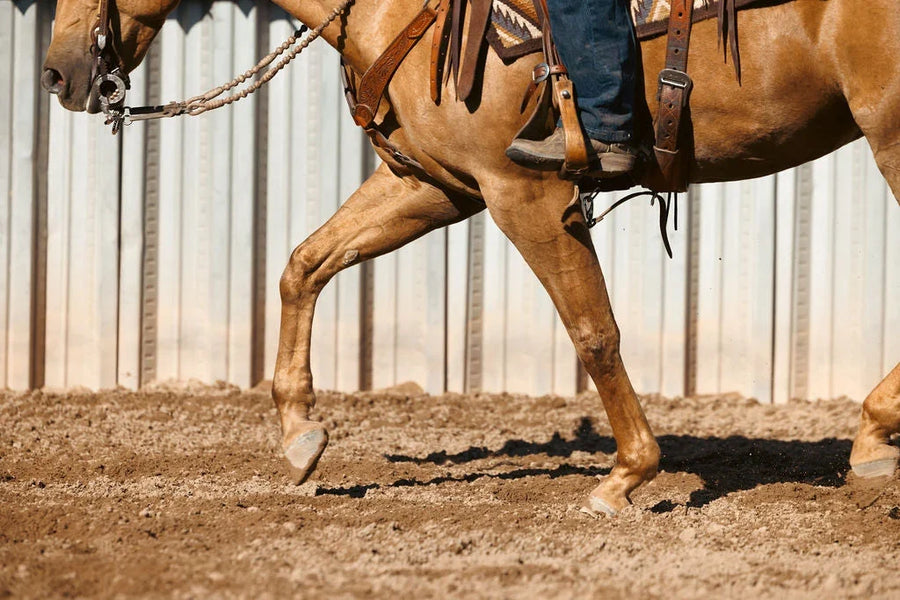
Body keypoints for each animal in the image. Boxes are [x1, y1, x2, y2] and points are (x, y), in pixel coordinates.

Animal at [42, 0, 900, 516]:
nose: (57, 73)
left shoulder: (521, 190)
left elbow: (594, 331)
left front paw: (626, 475)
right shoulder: (435, 186)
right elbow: (304, 263)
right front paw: (300, 438)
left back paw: (870, 434)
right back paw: (870, 437)